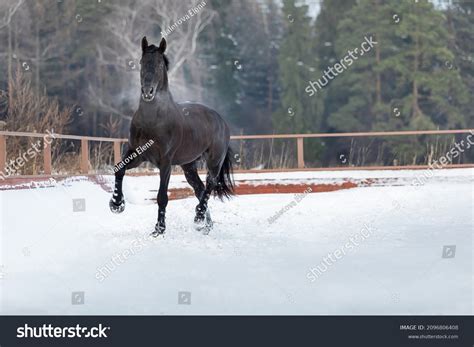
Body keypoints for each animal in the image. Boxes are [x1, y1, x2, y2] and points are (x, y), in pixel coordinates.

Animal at [111, 36, 237, 237]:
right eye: (141, 62)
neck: (152, 120)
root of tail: (221, 120)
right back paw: (206, 225)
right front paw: (116, 204)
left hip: (214, 162)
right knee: (200, 189)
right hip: (189, 166)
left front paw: (159, 229)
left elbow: (162, 196)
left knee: (209, 185)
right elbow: (119, 169)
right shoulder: (137, 155)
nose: (148, 92)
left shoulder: (165, 162)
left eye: (159, 65)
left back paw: (199, 217)